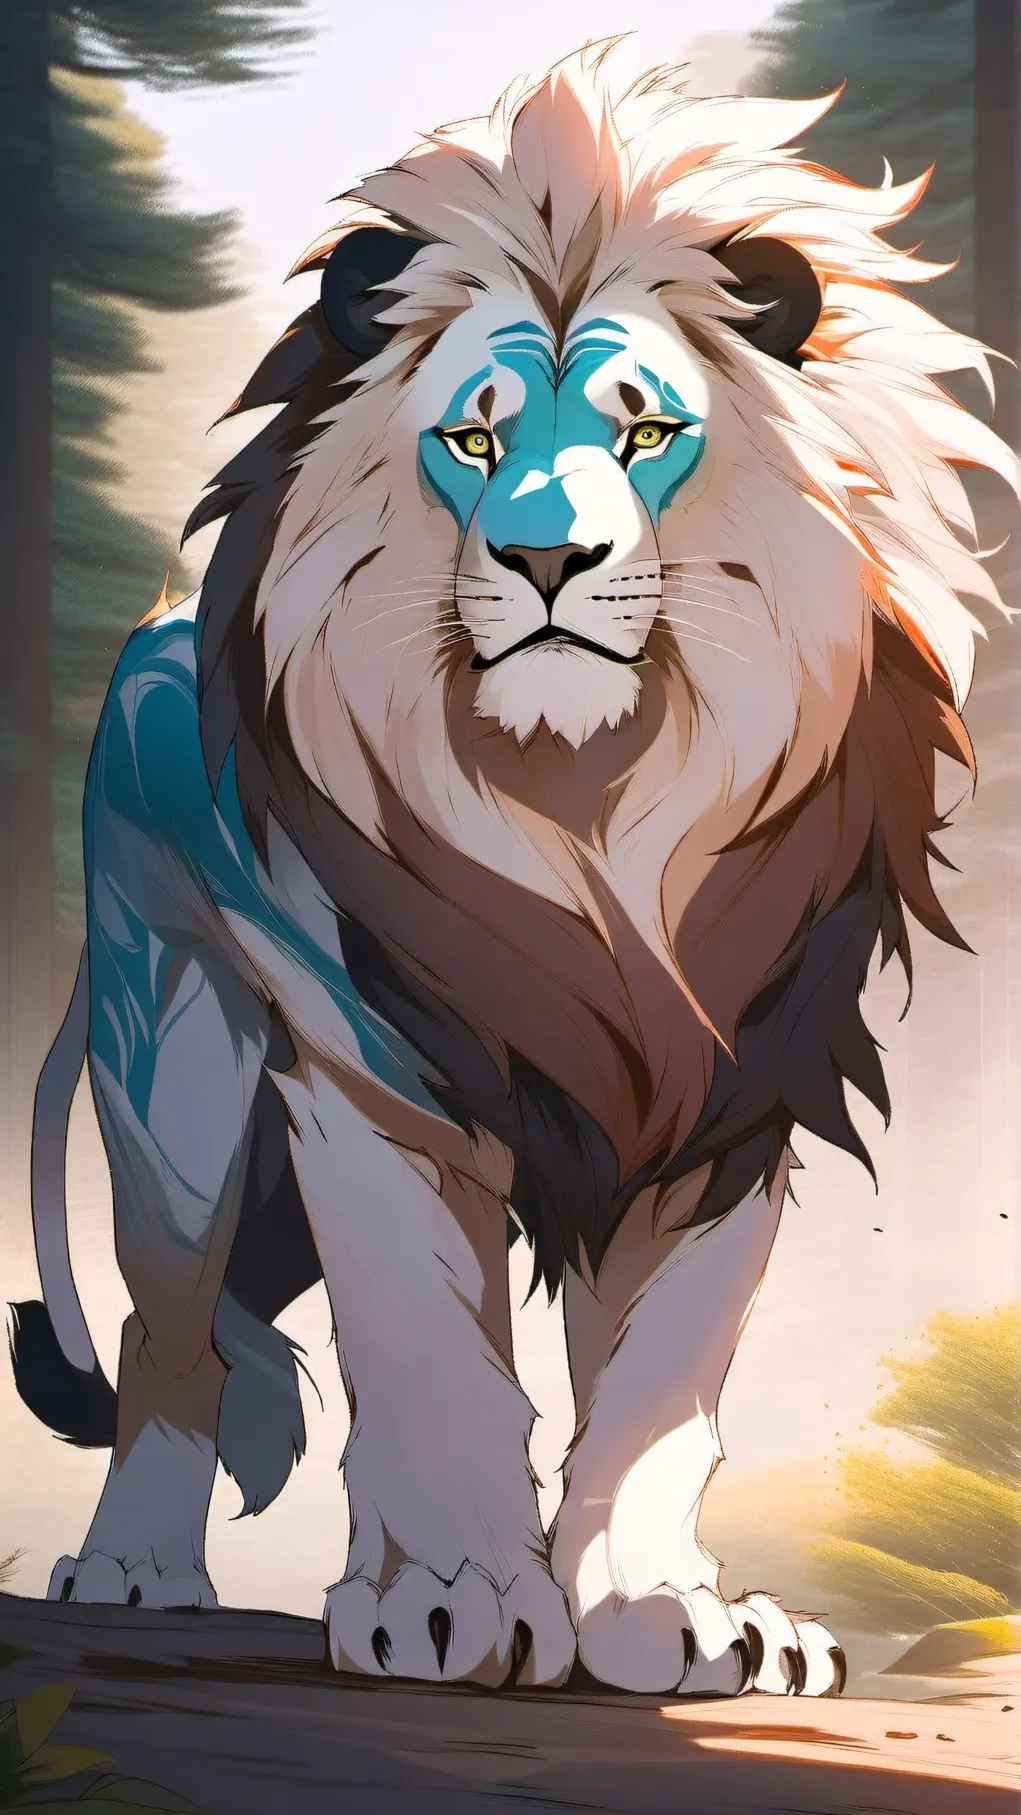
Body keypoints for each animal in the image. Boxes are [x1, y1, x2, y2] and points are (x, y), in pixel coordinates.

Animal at [10, 43, 1018, 1698]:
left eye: (645, 433)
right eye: (472, 439)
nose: (548, 561)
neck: (584, 811)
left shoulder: (736, 1096)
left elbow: (661, 1384)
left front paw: (666, 1614)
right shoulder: (375, 1080)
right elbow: (428, 1350)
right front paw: (455, 1596)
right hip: (180, 1081)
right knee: (174, 1341)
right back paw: (143, 1569)